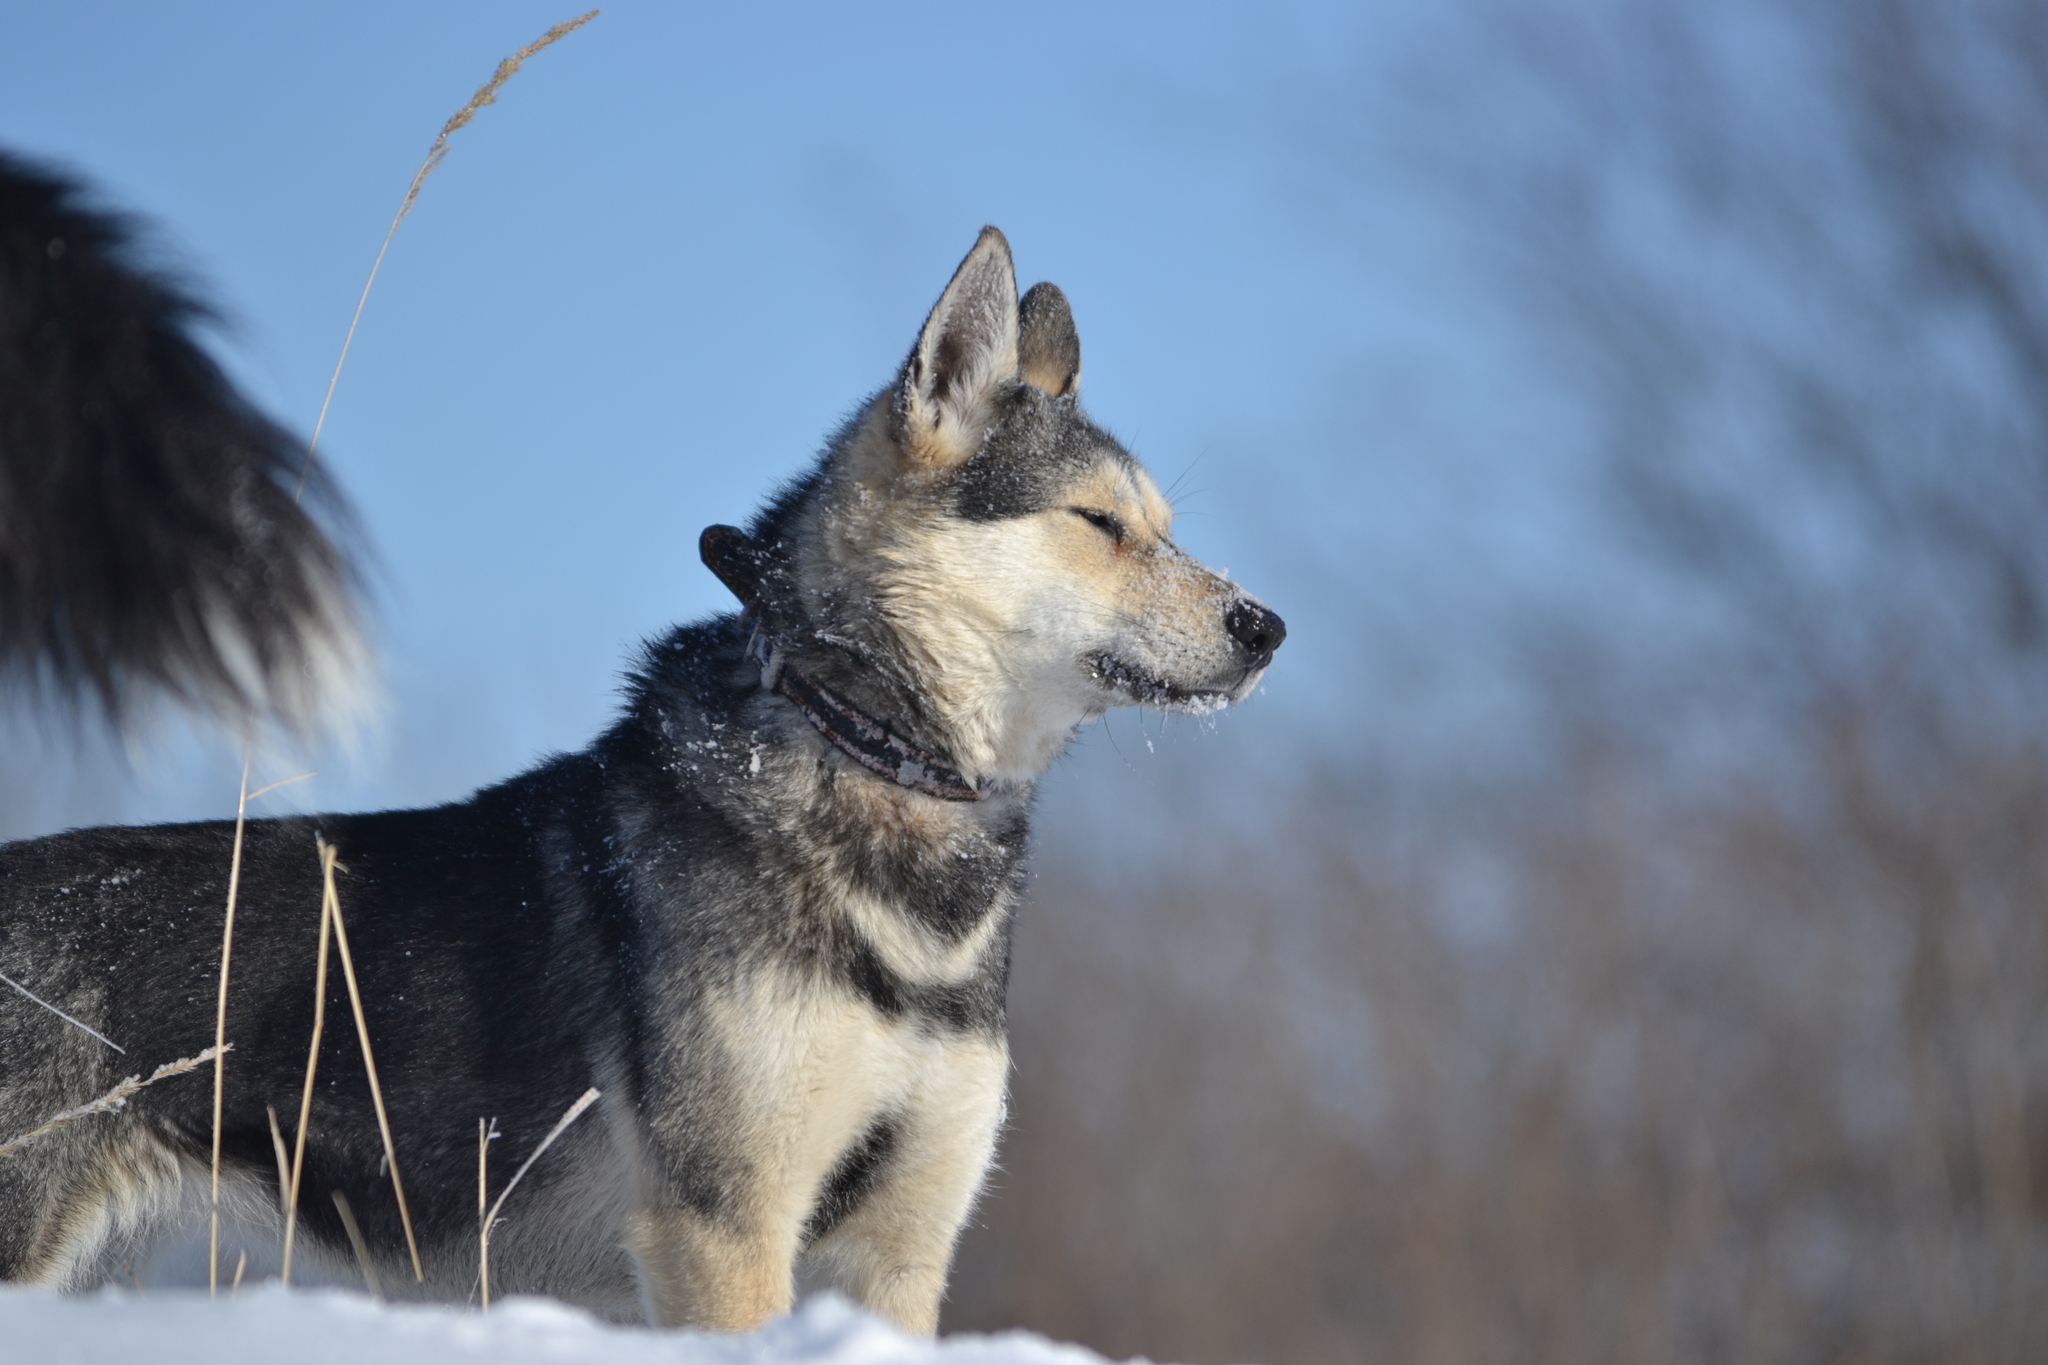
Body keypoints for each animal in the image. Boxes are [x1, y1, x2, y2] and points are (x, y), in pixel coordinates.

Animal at [0, 227, 1277, 1334]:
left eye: (1165, 527)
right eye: (1098, 523)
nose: (1265, 628)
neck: (861, 751)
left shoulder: (901, 1248)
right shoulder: (724, 1229)